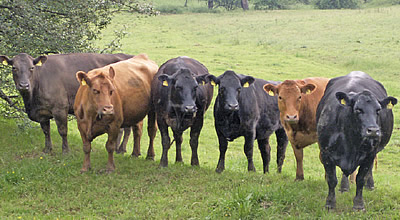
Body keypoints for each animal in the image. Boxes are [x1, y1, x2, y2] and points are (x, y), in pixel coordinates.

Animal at [0, 52, 134, 154]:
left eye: (31, 68)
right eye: (14, 68)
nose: (24, 85)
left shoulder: (60, 108)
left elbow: (62, 130)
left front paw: (65, 151)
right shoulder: (42, 112)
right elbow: (46, 130)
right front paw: (47, 149)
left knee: (128, 128)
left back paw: (121, 149)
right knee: (124, 128)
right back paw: (117, 148)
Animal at [316, 71, 396, 211]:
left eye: (378, 110)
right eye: (358, 109)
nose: (373, 131)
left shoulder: (369, 155)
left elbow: (360, 179)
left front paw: (359, 204)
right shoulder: (326, 154)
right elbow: (332, 180)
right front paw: (330, 203)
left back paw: (370, 185)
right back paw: (344, 187)